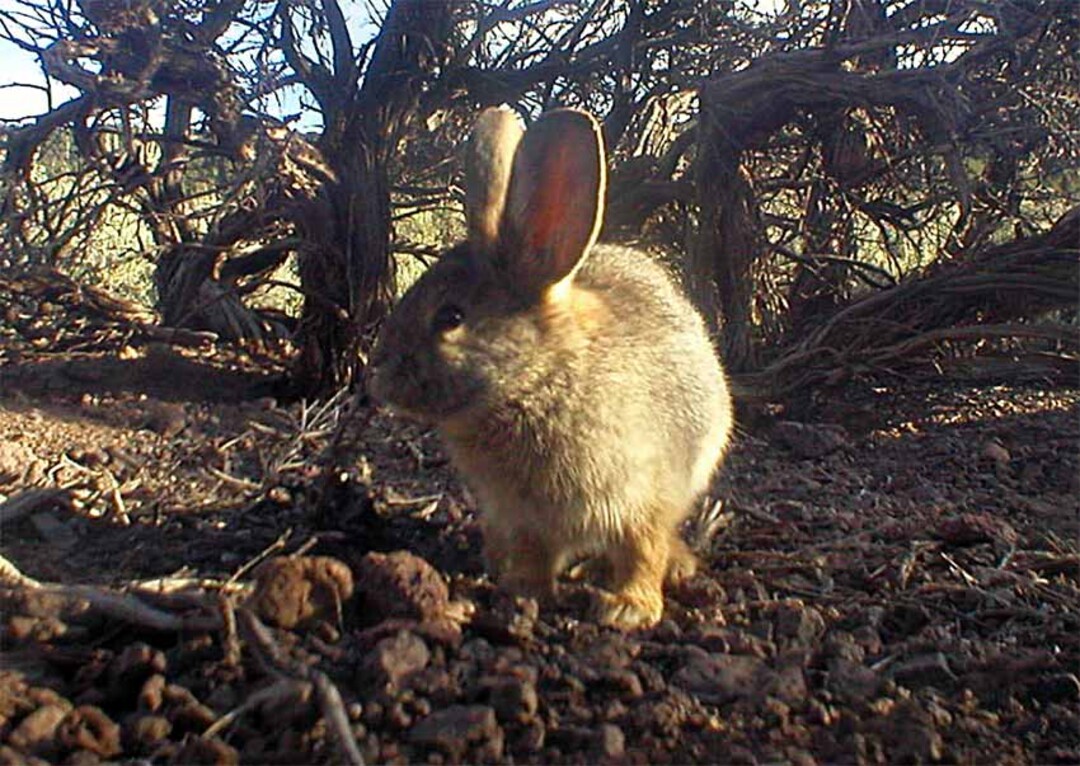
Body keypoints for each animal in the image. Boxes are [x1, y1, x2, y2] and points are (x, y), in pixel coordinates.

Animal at [368, 107, 733, 629]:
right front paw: (524, 591)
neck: (537, 381)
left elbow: (642, 553)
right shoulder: (525, 517)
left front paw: (629, 609)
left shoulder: (644, 498)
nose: (378, 370)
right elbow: (534, 554)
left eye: (451, 317)